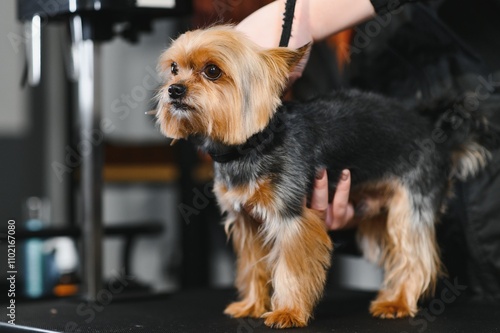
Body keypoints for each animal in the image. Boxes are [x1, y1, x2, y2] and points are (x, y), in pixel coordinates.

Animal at [155, 25, 496, 326]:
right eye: (174, 68)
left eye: (212, 70)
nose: (174, 89)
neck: (252, 144)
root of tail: (438, 135)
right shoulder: (247, 221)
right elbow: (253, 267)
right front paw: (251, 305)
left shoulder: (291, 219)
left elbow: (290, 270)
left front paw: (288, 313)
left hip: (411, 202)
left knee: (415, 256)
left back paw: (397, 302)